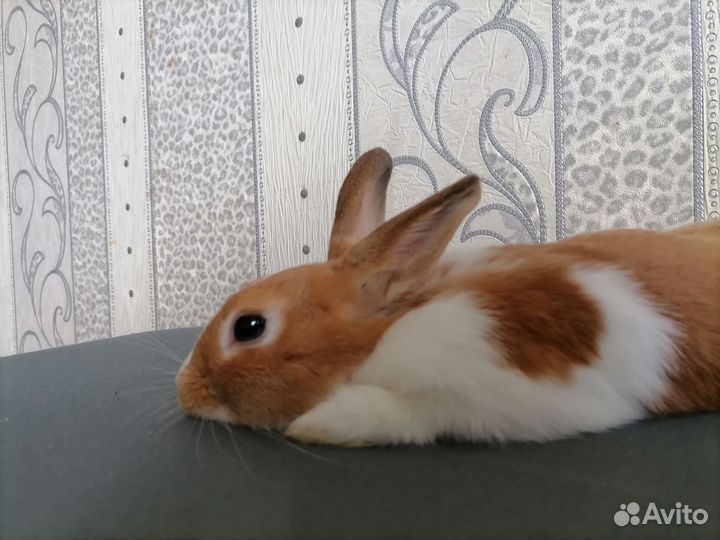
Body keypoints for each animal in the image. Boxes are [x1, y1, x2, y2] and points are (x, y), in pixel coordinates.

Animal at [176, 147, 720, 447]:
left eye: (249, 327)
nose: (185, 390)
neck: (386, 332)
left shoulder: (498, 389)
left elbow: (403, 414)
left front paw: (319, 425)